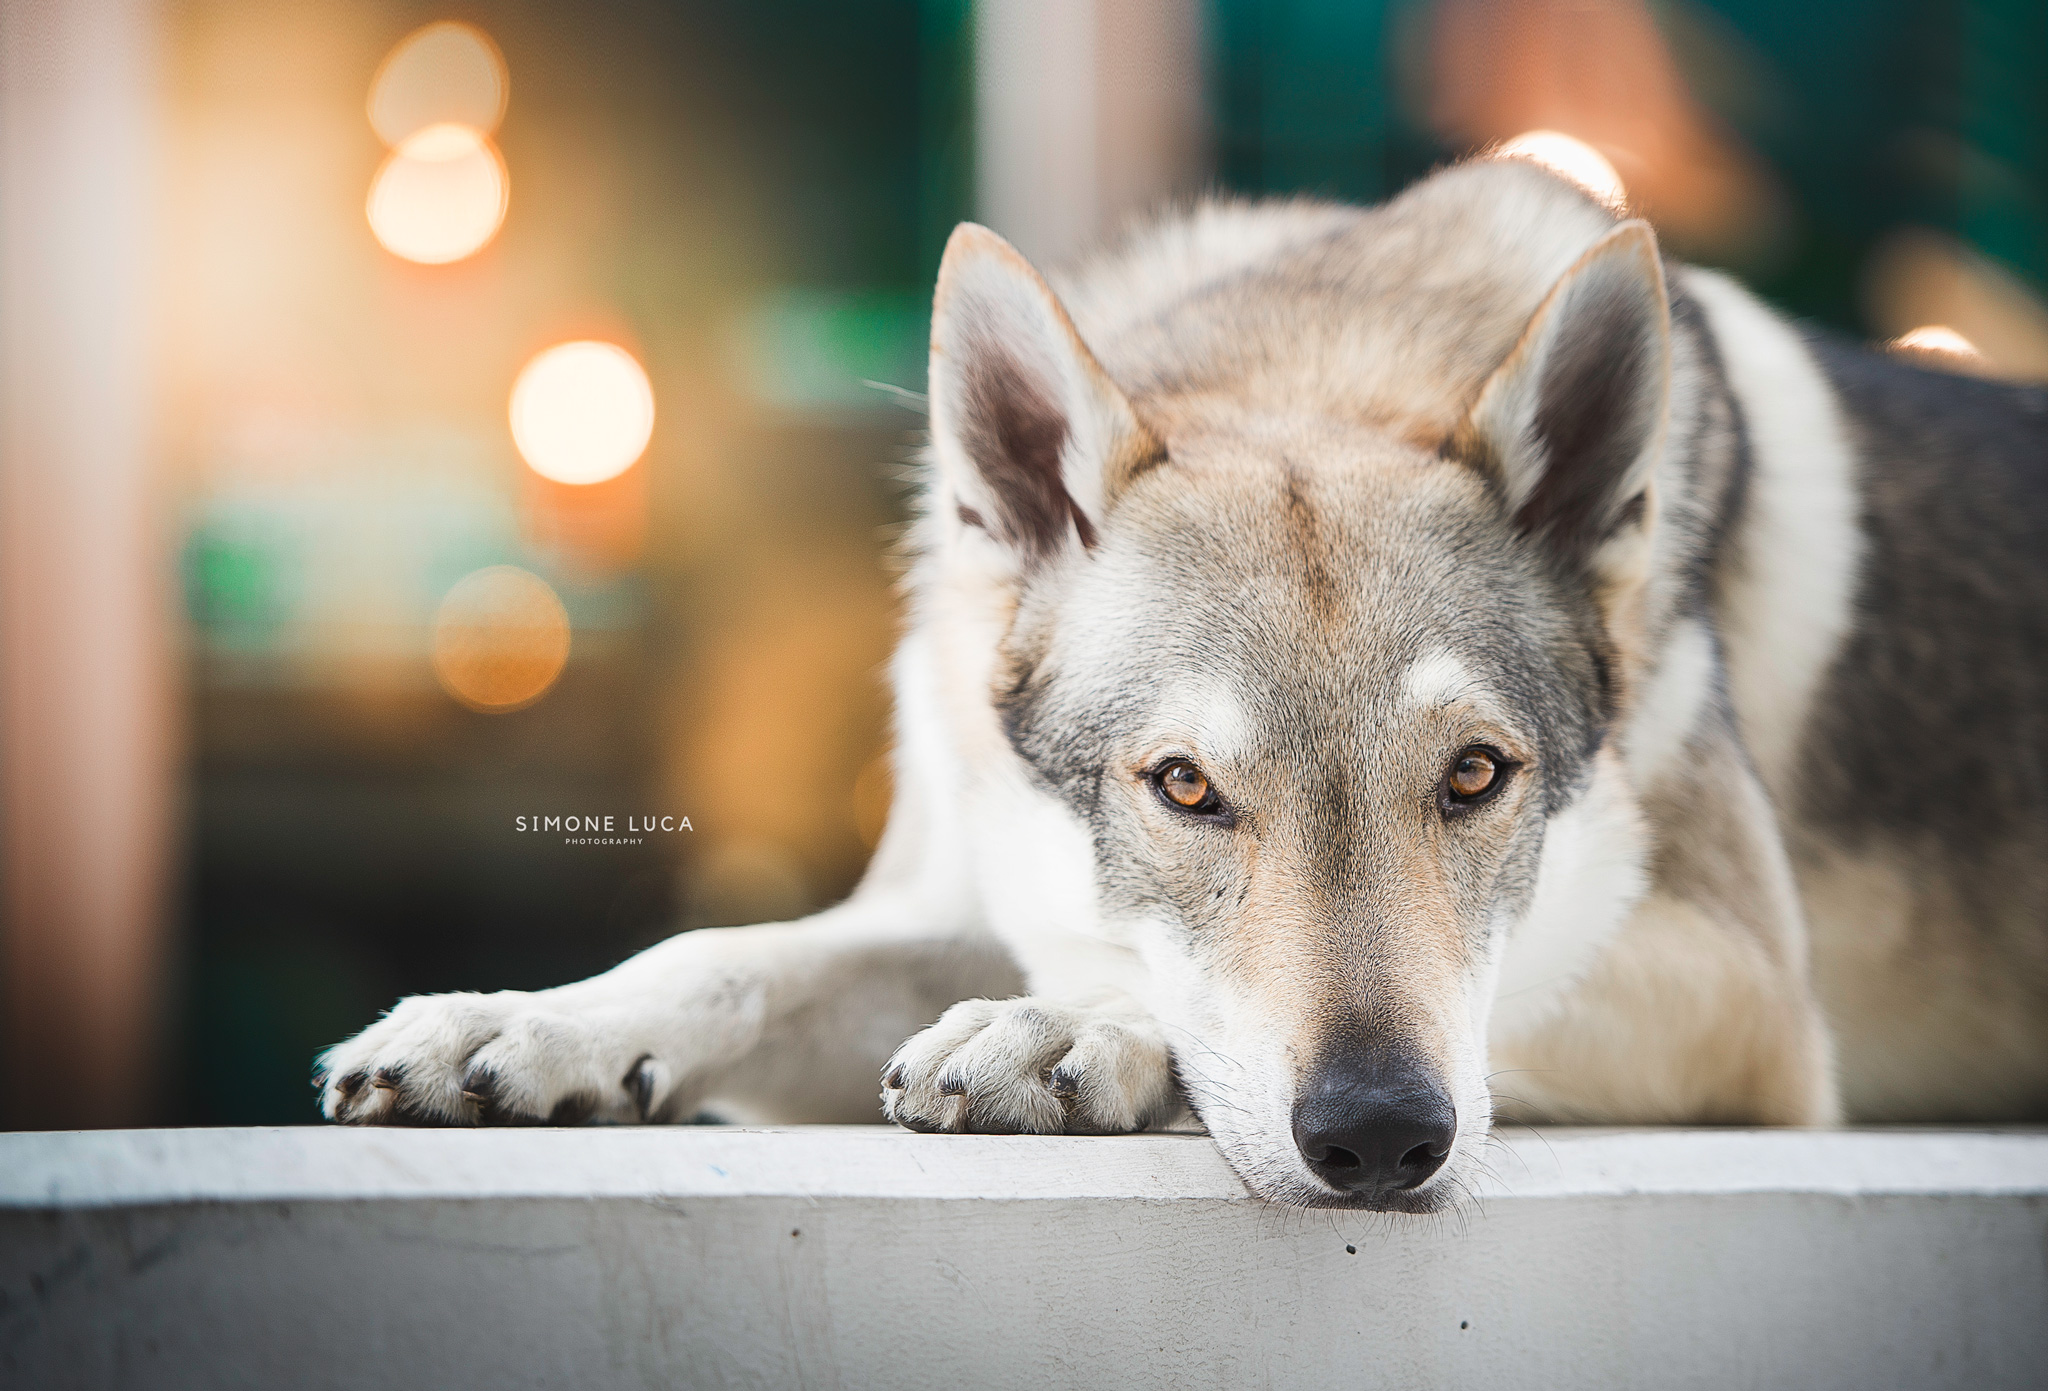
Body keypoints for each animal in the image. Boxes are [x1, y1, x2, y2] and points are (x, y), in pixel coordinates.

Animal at [318, 157, 2048, 1211]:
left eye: (1476, 775)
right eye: (1185, 786)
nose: (1381, 1137)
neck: (1319, 358)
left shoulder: (1755, 1003)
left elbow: (1396, 1001)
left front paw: (1068, 1033)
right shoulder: (955, 894)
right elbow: (726, 954)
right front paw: (520, 1024)